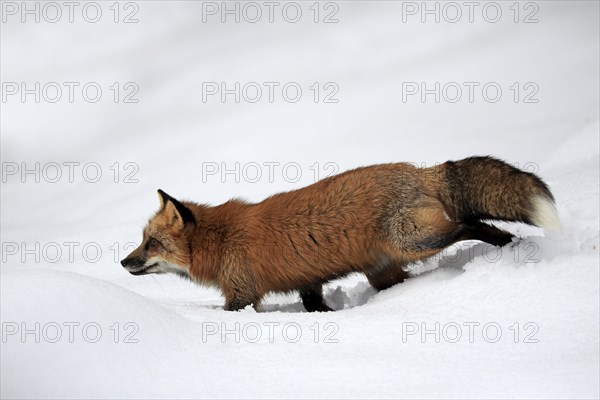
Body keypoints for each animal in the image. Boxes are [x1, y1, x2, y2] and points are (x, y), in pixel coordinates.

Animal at [119, 157, 560, 312]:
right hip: (385, 270)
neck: (220, 239)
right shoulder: (308, 282)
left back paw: (509, 247)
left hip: (415, 241)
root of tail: (418, 170)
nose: (123, 262)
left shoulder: (242, 294)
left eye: (151, 243)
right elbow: (315, 306)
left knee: (473, 226)